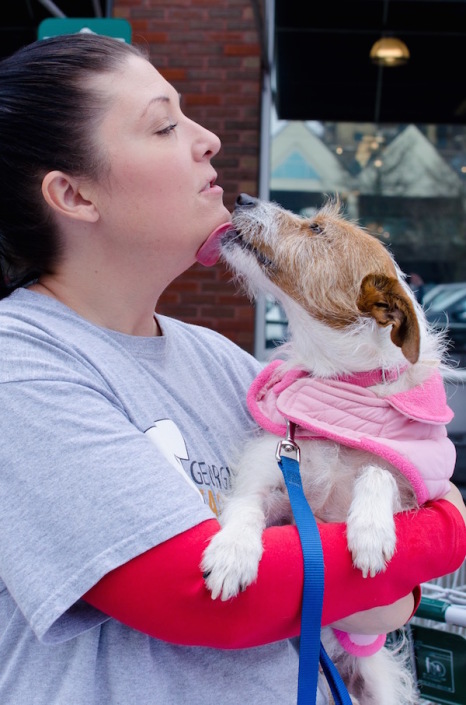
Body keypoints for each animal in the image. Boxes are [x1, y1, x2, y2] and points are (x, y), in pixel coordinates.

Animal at [199, 195, 456, 704]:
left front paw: (371, 530)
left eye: (317, 229)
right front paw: (233, 552)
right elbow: (246, 507)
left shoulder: (417, 490)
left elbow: (378, 472)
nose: (242, 198)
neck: (340, 384)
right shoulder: (270, 477)